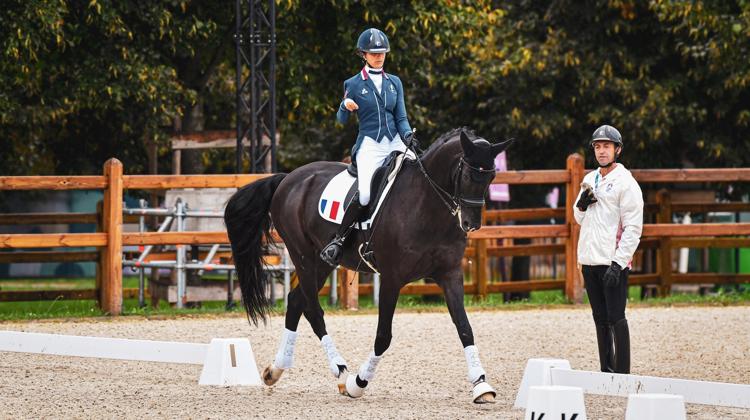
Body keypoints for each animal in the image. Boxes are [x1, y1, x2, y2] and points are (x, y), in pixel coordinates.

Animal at [226, 129, 516, 404]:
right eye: (467, 175)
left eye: (491, 177)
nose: (471, 224)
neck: (426, 205)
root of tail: (289, 178)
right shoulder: (391, 278)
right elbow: (383, 336)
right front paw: (359, 382)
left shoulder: (450, 275)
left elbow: (465, 328)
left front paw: (481, 385)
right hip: (304, 256)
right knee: (313, 310)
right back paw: (341, 372)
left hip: (322, 263)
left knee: (297, 301)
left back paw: (275, 370)